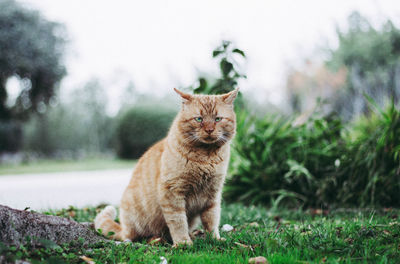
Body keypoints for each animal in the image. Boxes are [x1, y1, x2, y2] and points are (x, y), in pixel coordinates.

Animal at [94, 87, 238, 246]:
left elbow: (212, 221)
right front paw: (183, 243)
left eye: (217, 119)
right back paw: (157, 239)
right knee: (135, 237)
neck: (206, 157)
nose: (209, 130)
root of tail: (123, 228)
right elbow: (178, 222)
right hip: (137, 222)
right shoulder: (172, 193)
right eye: (199, 119)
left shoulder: (213, 195)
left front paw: (215, 239)